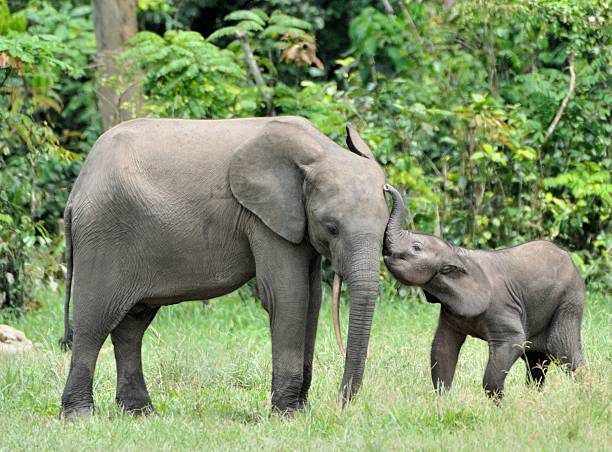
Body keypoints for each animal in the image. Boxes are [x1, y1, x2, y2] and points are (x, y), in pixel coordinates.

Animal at [62, 115, 388, 416]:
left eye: (385, 227)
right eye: (332, 227)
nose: (341, 403)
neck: (320, 152)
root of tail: (77, 190)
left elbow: (312, 300)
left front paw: (300, 412)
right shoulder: (264, 218)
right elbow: (287, 295)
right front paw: (287, 416)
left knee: (132, 325)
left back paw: (140, 413)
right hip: (103, 233)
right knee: (94, 321)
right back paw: (80, 416)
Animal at [382, 185, 588, 398]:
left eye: (416, 247)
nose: (386, 187)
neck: (458, 254)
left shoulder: (501, 307)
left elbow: (513, 342)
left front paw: (499, 402)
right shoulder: (451, 310)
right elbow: (442, 347)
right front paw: (442, 399)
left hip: (568, 302)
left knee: (565, 353)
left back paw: (587, 395)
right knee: (535, 360)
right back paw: (533, 398)